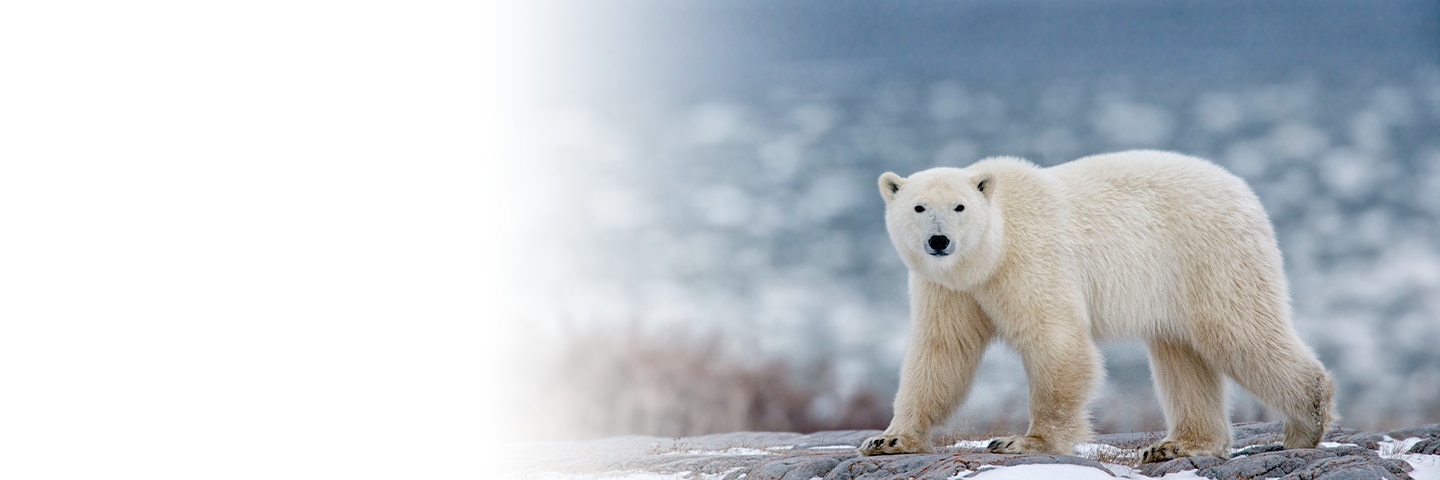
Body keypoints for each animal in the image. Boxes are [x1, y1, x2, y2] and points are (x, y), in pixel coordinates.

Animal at [852, 148, 1336, 461]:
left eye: (959, 207)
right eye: (918, 207)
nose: (939, 241)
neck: (991, 251)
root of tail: (1245, 192)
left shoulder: (1030, 260)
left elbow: (1055, 341)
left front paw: (1022, 442)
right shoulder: (949, 289)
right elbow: (942, 352)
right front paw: (889, 440)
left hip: (1210, 256)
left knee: (1239, 332)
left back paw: (1306, 422)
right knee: (1182, 355)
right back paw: (1176, 444)